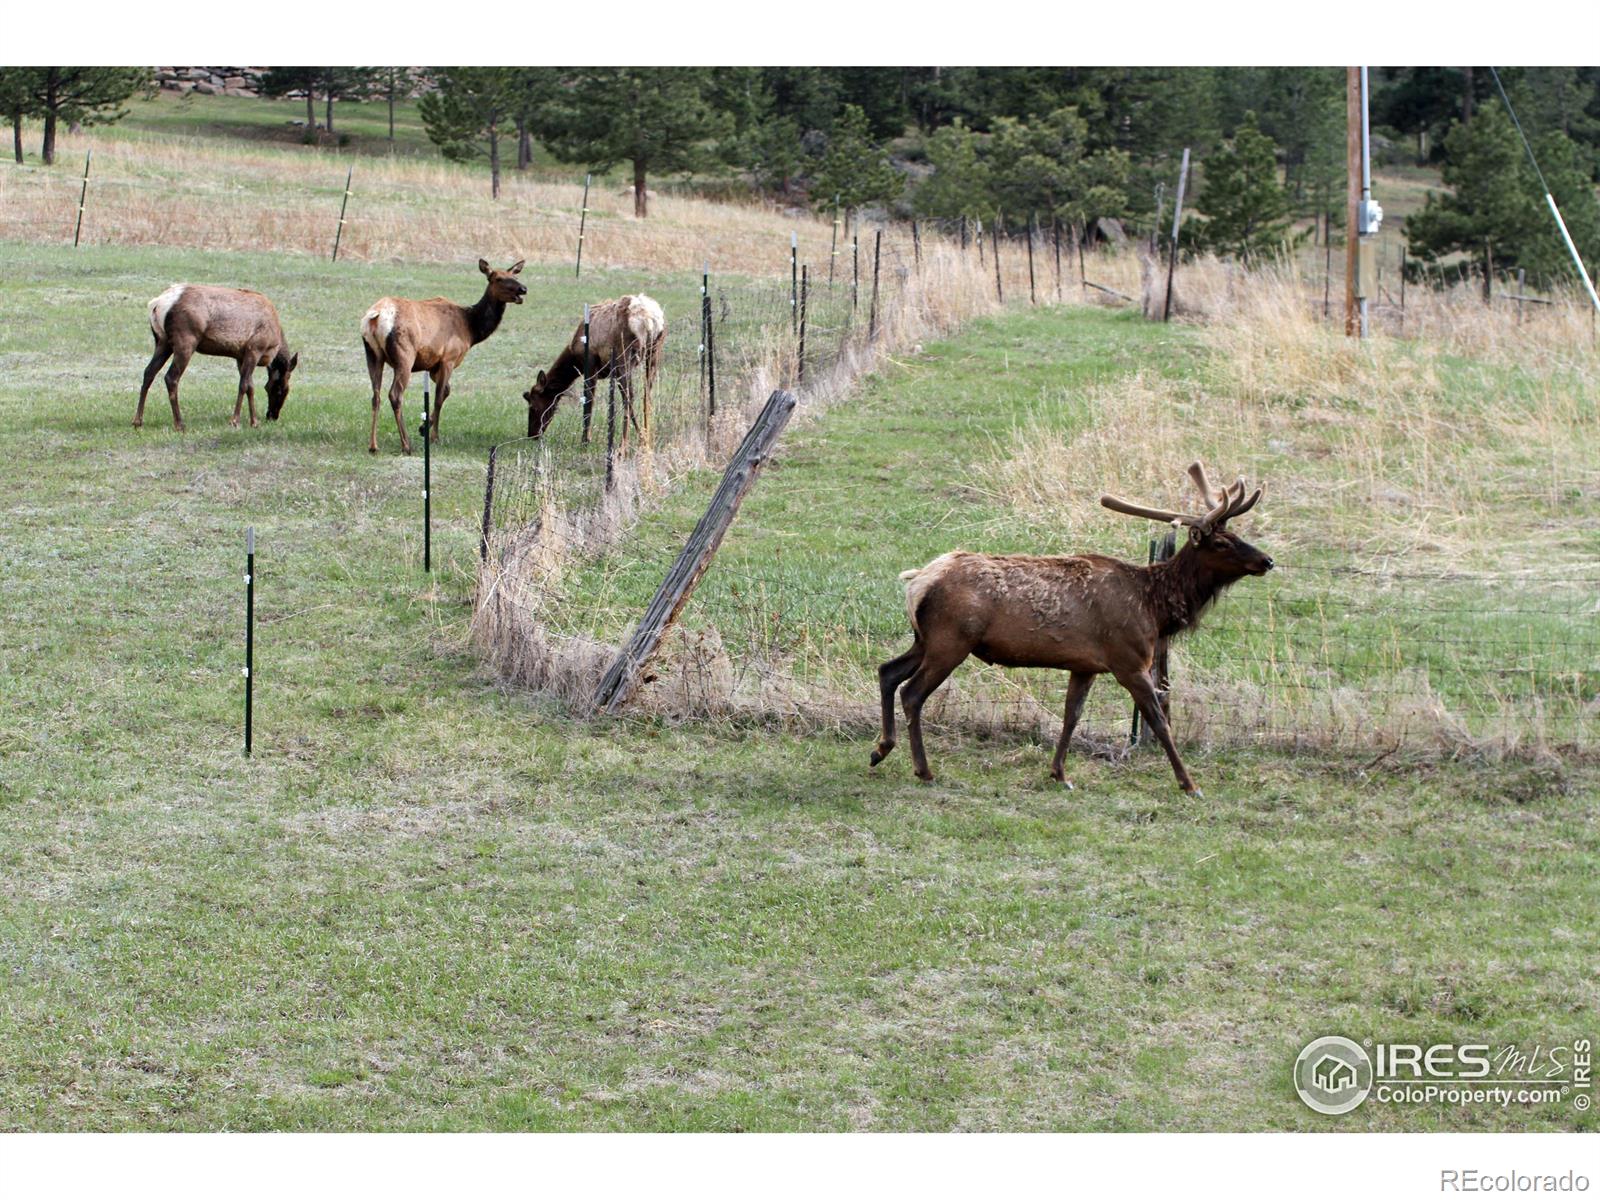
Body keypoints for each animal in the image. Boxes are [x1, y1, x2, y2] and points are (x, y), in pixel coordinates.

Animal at [135, 284, 300, 432]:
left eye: (268, 387)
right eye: (281, 389)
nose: (272, 416)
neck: (275, 341)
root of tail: (157, 304)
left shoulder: (241, 355)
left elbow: (250, 387)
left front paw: (254, 422)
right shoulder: (255, 348)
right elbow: (243, 385)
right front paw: (235, 421)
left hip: (162, 341)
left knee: (148, 372)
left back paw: (137, 421)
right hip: (186, 340)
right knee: (171, 377)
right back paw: (179, 424)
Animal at [361, 259, 524, 454]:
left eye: (515, 276)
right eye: (498, 278)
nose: (523, 289)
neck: (471, 329)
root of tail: (376, 317)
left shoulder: (433, 365)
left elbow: (446, 390)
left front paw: (424, 427)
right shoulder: (449, 358)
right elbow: (439, 396)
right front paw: (432, 436)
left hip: (373, 354)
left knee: (375, 396)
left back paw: (373, 445)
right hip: (405, 355)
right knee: (395, 394)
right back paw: (406, 445)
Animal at [521, 296, 665, 448]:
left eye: (533, 406)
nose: (532, 434)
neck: (574, 358)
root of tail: (650, 319)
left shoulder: (590, 364)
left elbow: (589, 399)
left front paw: (585, 440)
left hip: (623, 357)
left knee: (629, 397)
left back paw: (626, 444)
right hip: (654, 352)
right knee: (646, 395)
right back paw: (646, 436)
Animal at [876, 470, 1273, 800]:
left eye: (1237, 534)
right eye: (1221, 543)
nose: (1267, 560)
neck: (1155, 610)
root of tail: (918, 581)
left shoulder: (1086, 665)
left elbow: (1072, 715)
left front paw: (1059, 774)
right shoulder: (1128, 660)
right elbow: (1159, 720)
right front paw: (1189, 784)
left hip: (925, 639)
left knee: (887, 671)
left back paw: (881, 748)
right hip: (951, 639)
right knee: (912, 692)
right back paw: (923, 770)